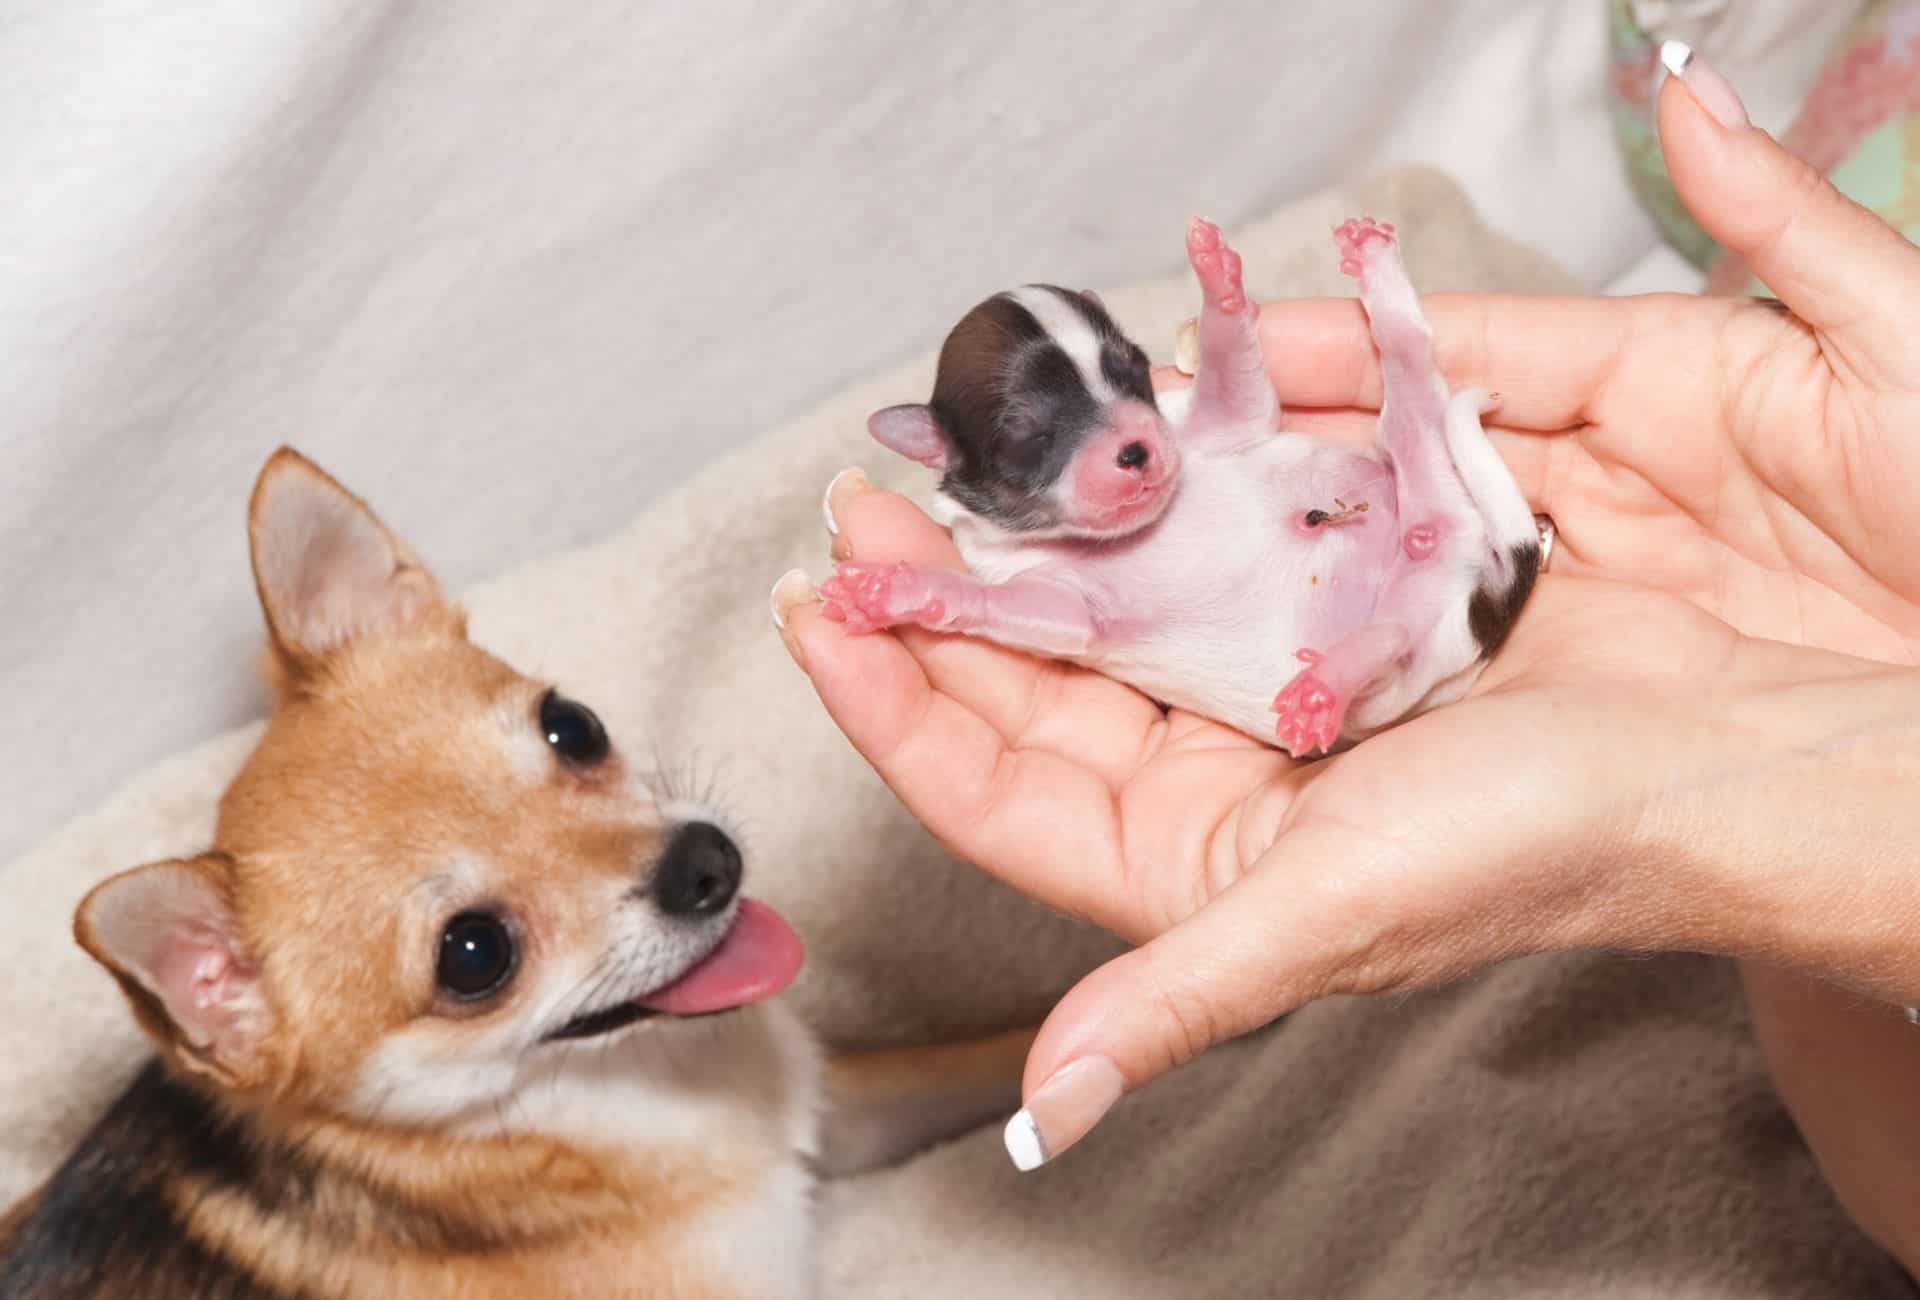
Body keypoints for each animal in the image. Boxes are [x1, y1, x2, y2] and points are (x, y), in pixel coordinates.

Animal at [817, 217, 1536, 756]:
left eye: (1132, 369)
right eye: (1024, 437)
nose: (1137, 448)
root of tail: (1474, 576)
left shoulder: (1208, 425)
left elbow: (1239, 389)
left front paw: (1216, 280)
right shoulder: (1054, 602)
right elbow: (999, 605)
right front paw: (896, 590)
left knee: (1409, 371)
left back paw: (1377, 271)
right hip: (1407, 642)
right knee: (1391, 633)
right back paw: (1327, 685)